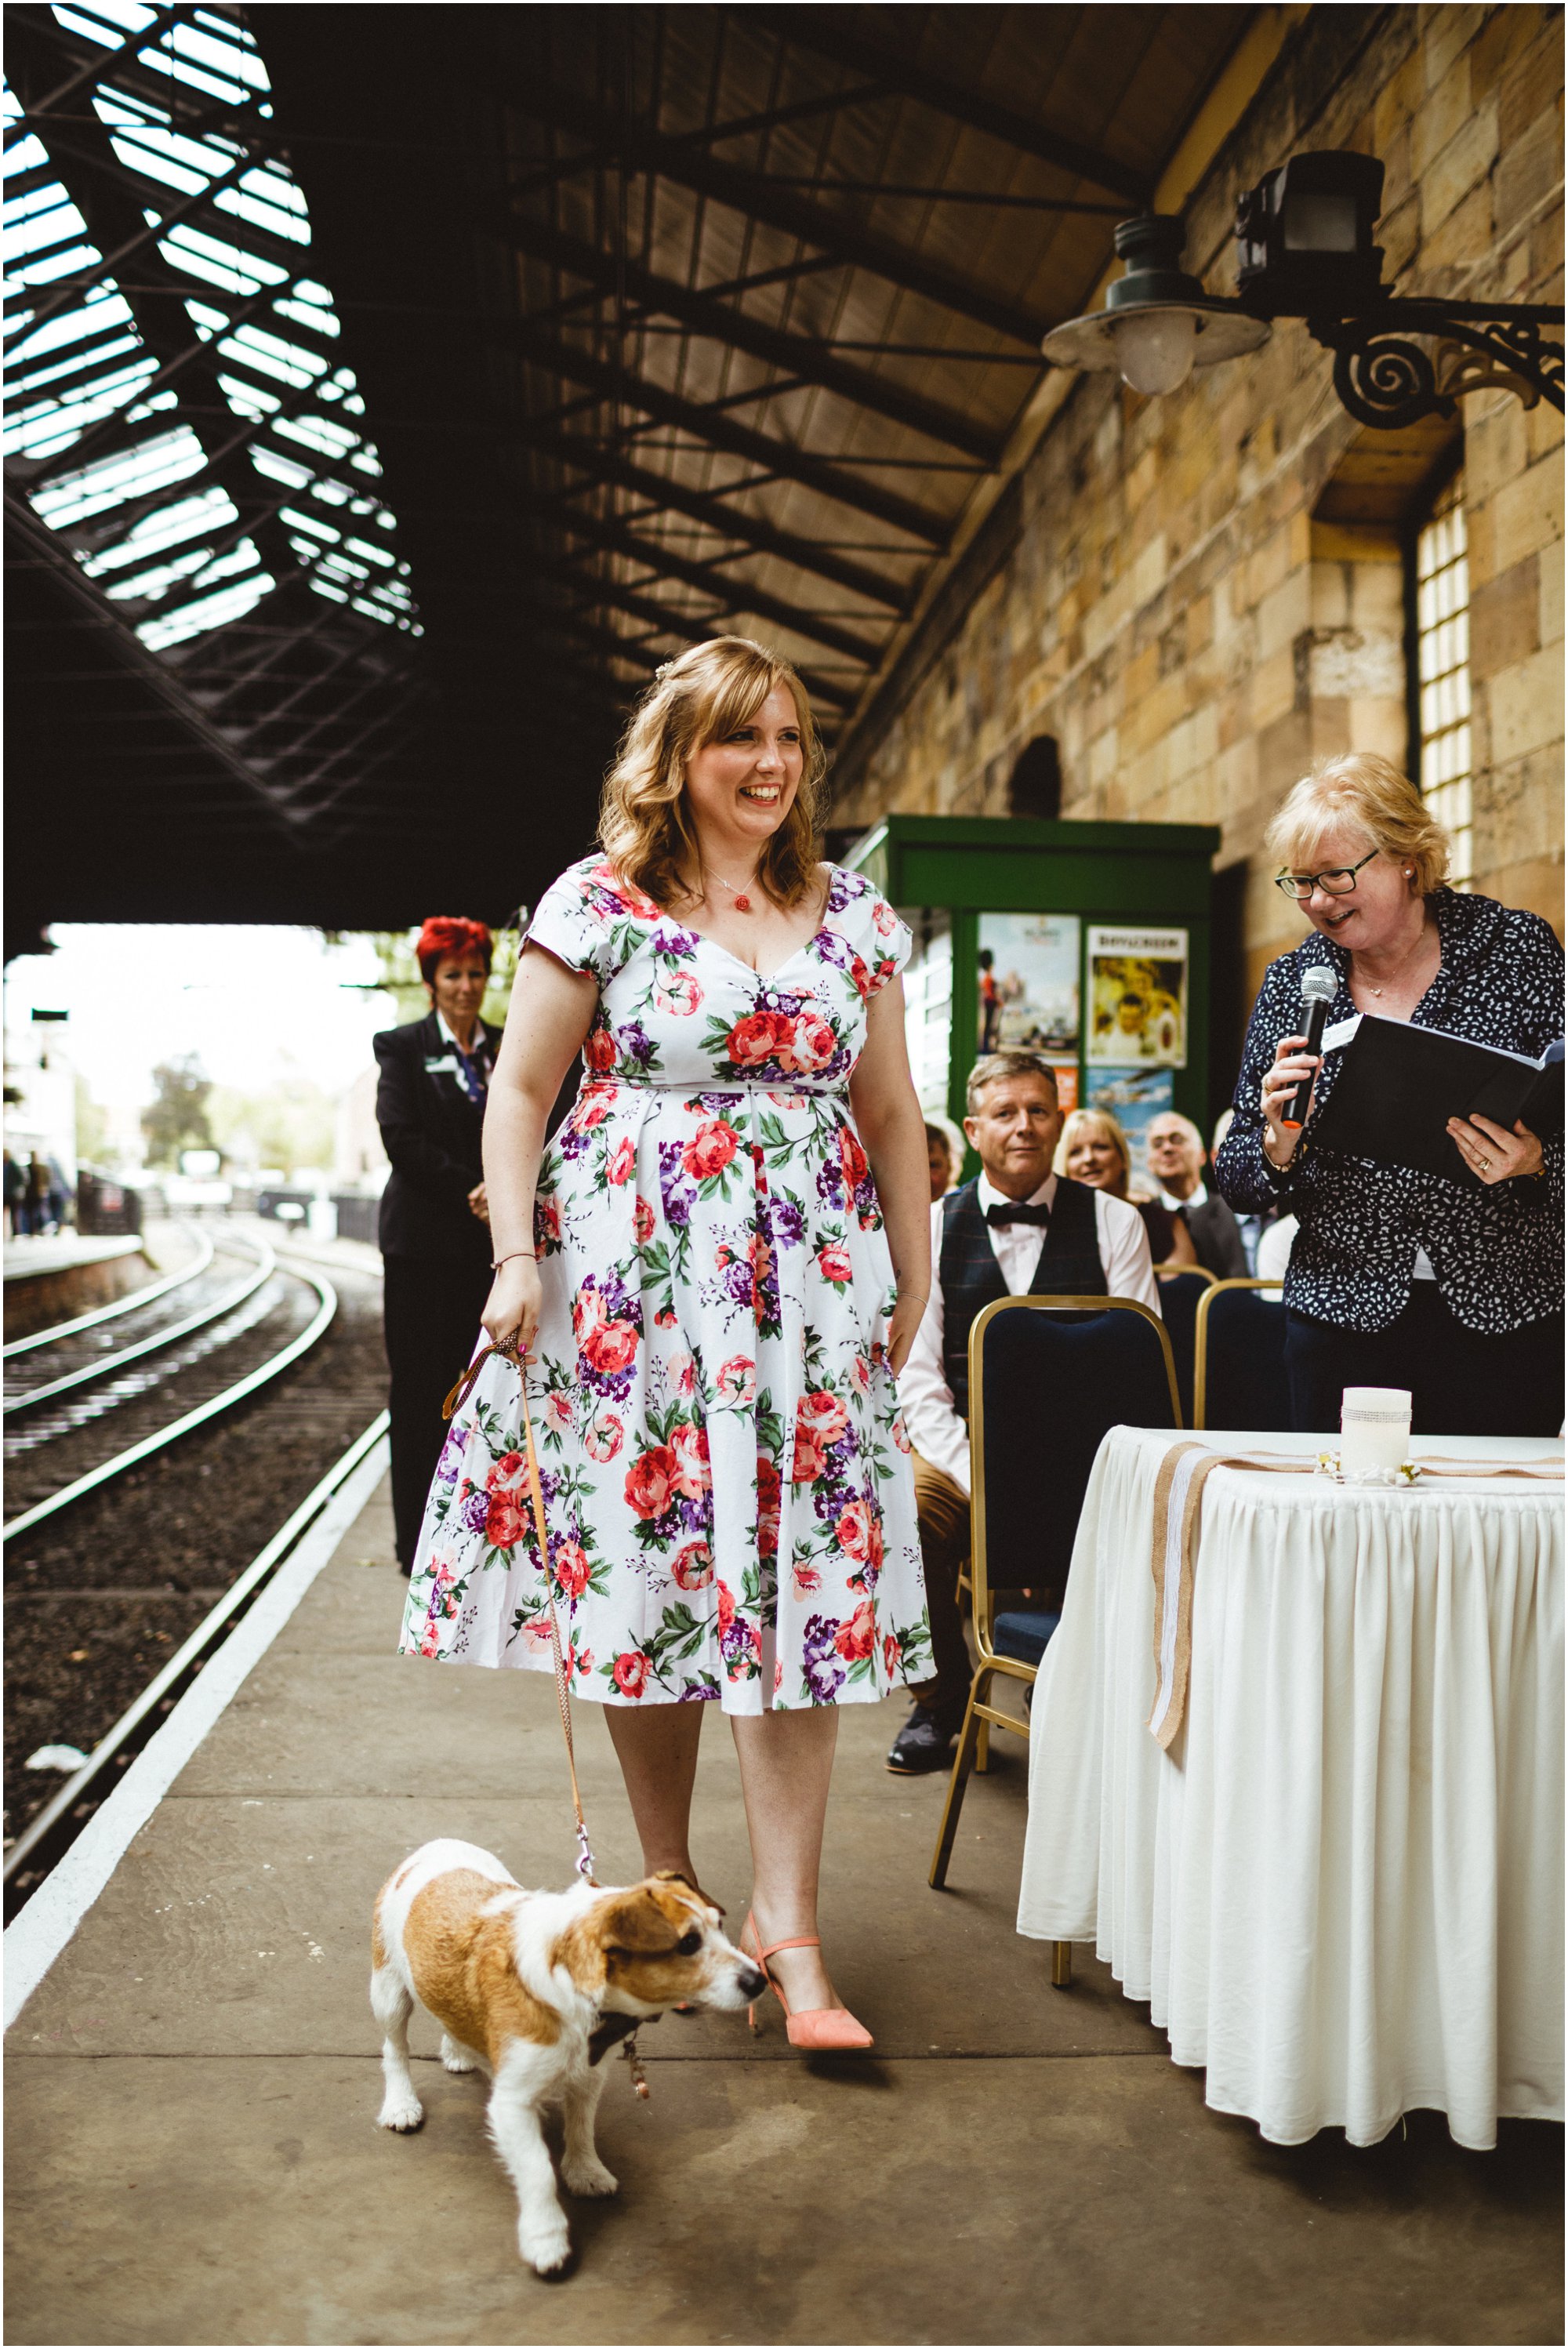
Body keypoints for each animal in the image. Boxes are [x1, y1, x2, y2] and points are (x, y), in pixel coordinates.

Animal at [368, 1832, 760, 2274]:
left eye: (719, 1926)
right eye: (689, 1943)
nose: (760, 1980)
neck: (575, 1983)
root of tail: (438, 1843)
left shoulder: (588, 2078)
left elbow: (581, 2126)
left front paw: (585, 2170)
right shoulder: (513, 2102)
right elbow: (537, 2169)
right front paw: (546, 2237)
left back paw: (459, 2051)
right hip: (388, 1991)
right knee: (394, 2048)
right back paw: (401, 2104)